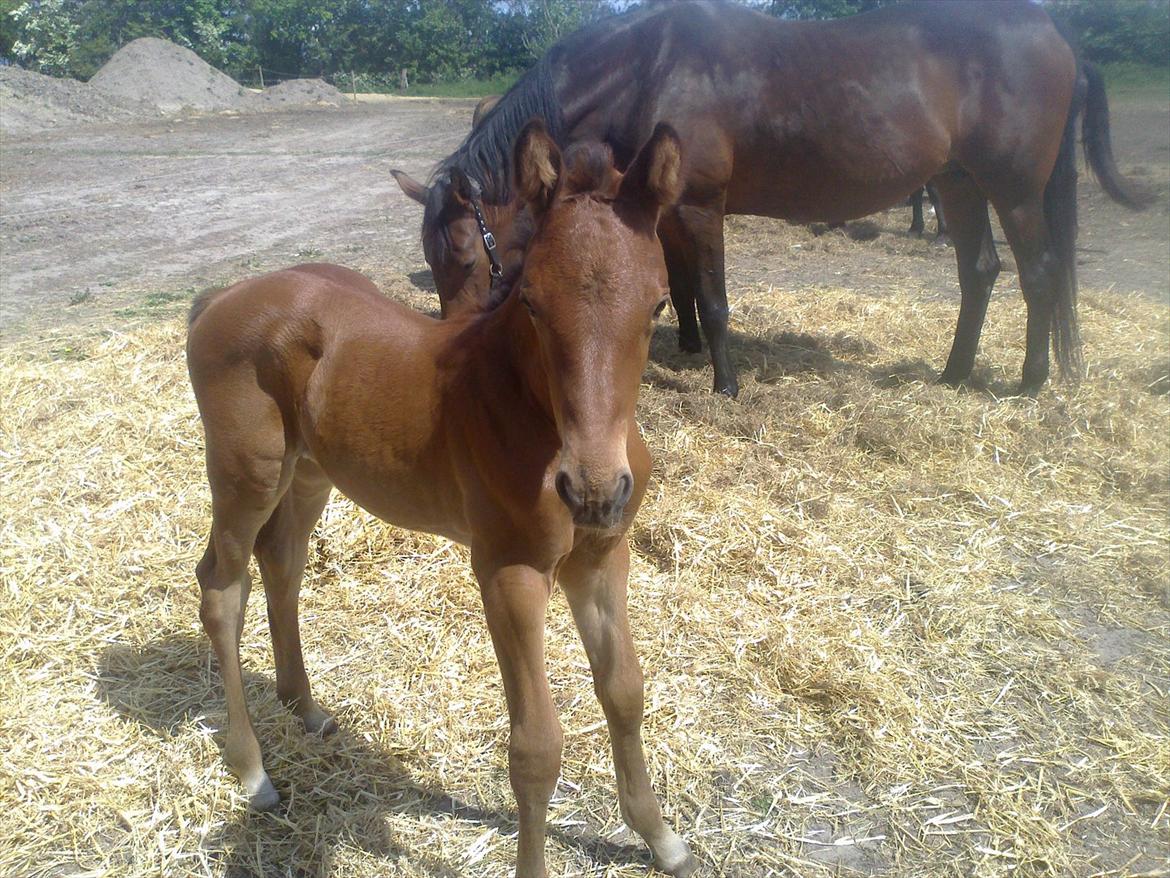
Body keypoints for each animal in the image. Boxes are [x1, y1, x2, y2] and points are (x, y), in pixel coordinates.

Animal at [182, 118, 692, 878]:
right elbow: (536, 747)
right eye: (533, 302)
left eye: (657, 302)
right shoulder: (509, 571)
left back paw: (306, 707)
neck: (531, 411)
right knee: (221, 585)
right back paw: (253, 771)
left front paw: (660, 837)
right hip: (249, 472)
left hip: (310, 473)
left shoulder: (602, 556)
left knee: (282, 564)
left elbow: (625, 691)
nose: (593, 490)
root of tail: (222, 296)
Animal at [397, 0, 1146, 398]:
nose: (445, 345)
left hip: (1012, 189)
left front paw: (724, 384)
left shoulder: (700, 206)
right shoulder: (659, 208)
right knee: (980, 272)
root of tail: (1052, 30)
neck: (648, 68)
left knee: (1039, 273)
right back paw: (954, 373)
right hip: (959, 183)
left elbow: (714, 299)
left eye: (465, 254)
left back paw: (1029, 381)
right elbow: (678, 286)